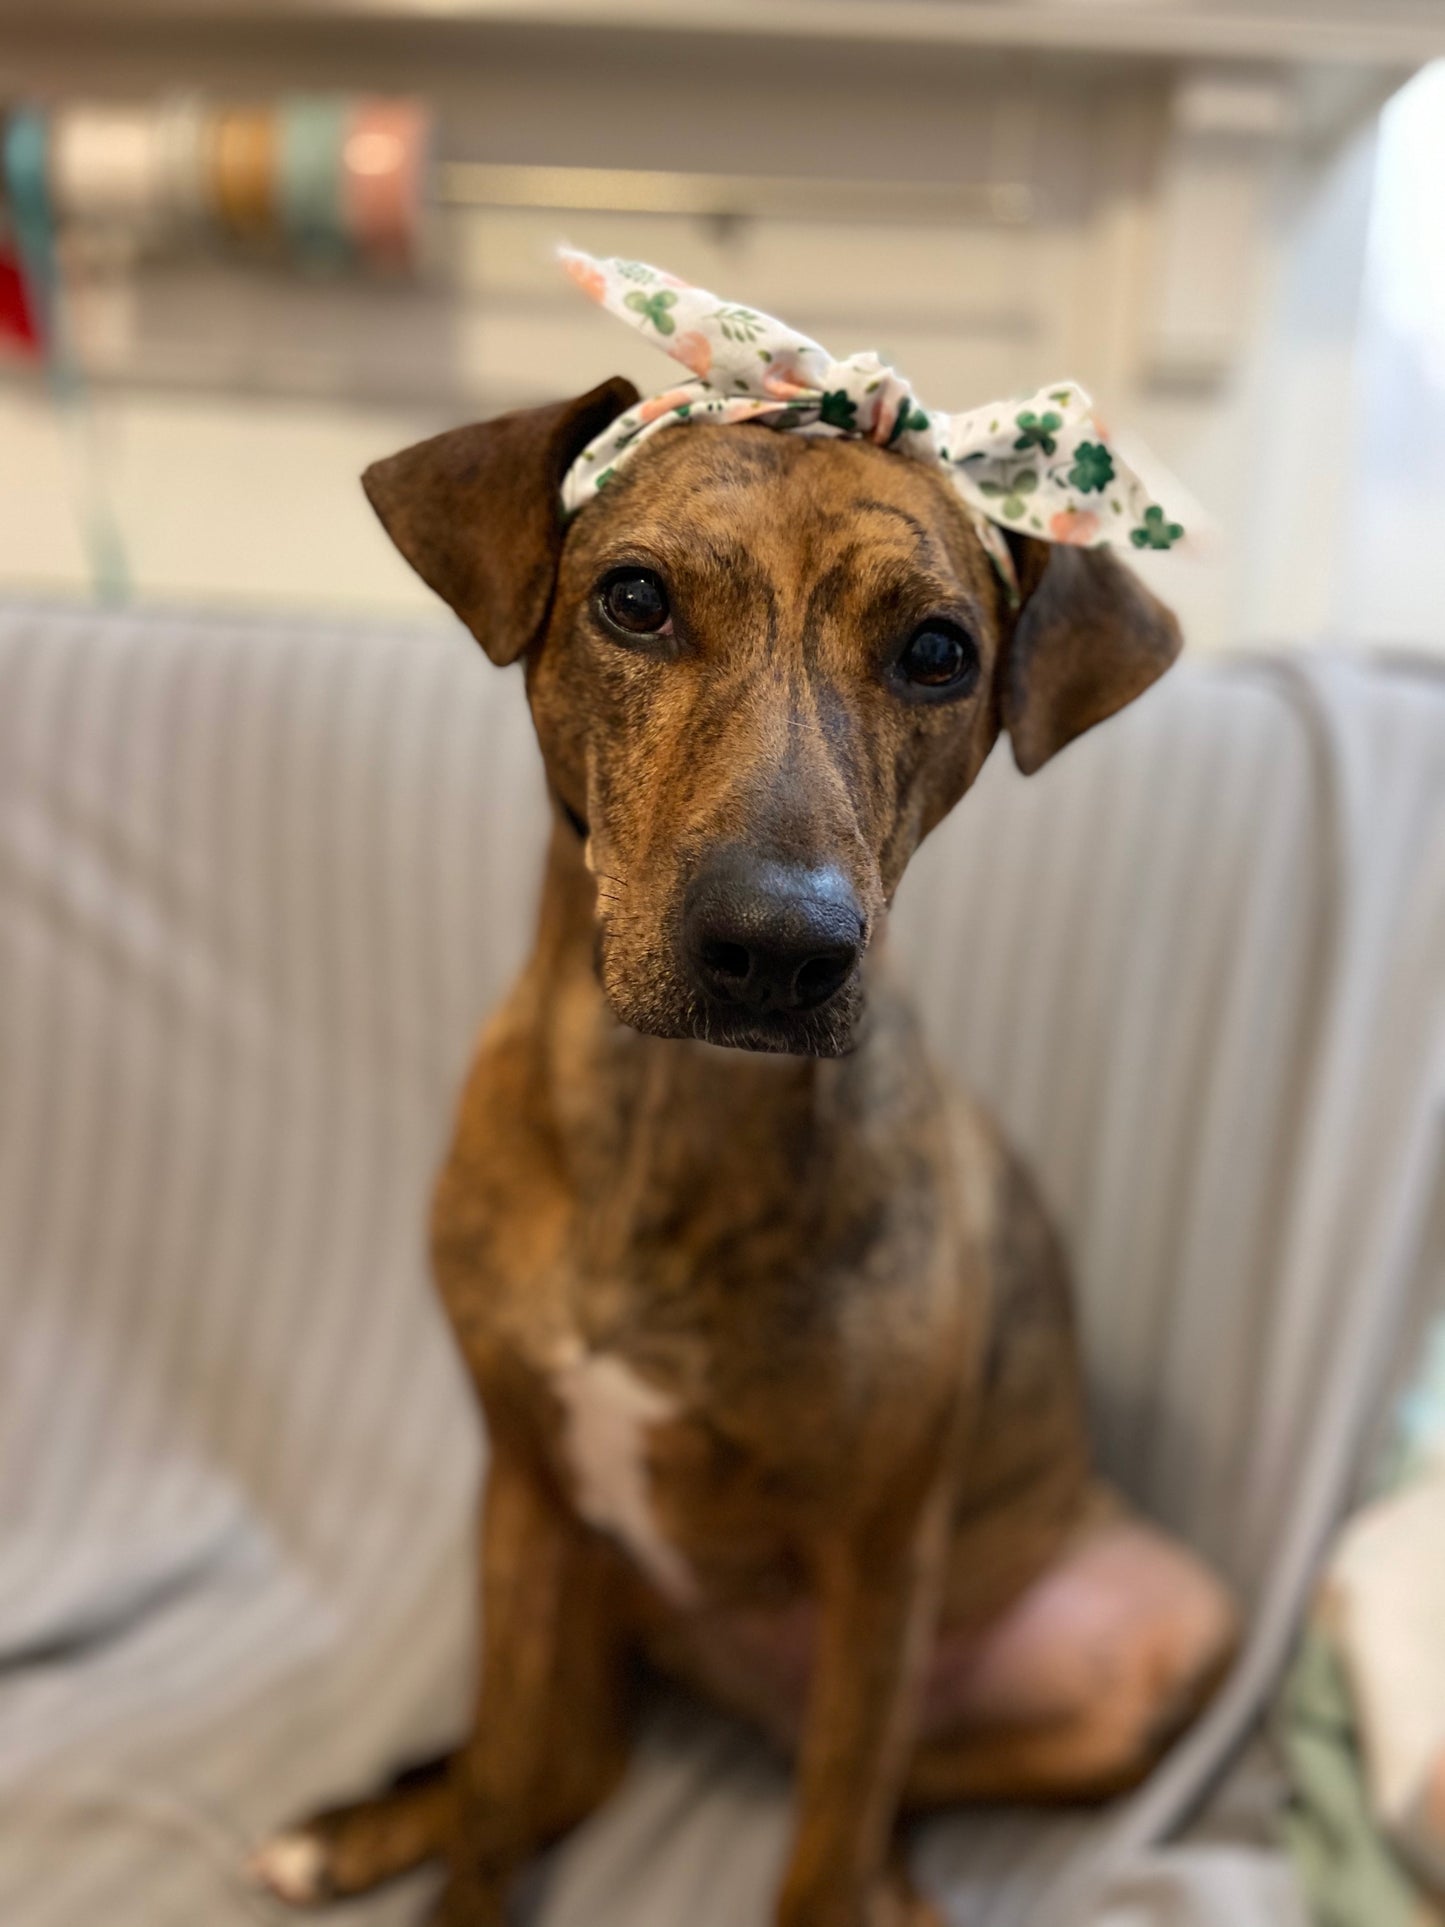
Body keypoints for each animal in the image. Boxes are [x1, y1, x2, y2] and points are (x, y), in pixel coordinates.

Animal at [254, 375, 1240, 1927]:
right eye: (635, 599)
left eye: (939, 651)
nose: (779, 950)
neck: (673, 1117)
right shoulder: (523, 1494)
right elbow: (494, 1799)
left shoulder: (882, 1558)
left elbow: (823, 1847)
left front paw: (849, 1879)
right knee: (538, 1766)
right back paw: (360, 1823)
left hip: (1146, 1639)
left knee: (868, 1789)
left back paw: (894, 1881)